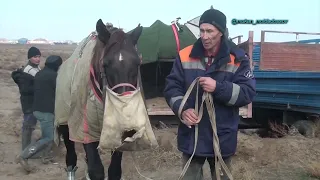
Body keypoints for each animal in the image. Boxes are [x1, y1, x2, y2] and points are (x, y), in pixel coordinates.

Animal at [55, 18, 144, 180]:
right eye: (105, 64)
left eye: (137, 63)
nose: (126, 113)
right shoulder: (85, 130)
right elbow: (96, 170)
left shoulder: (118, 133)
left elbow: (114, 171)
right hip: (64, 119)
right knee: (71, 152)